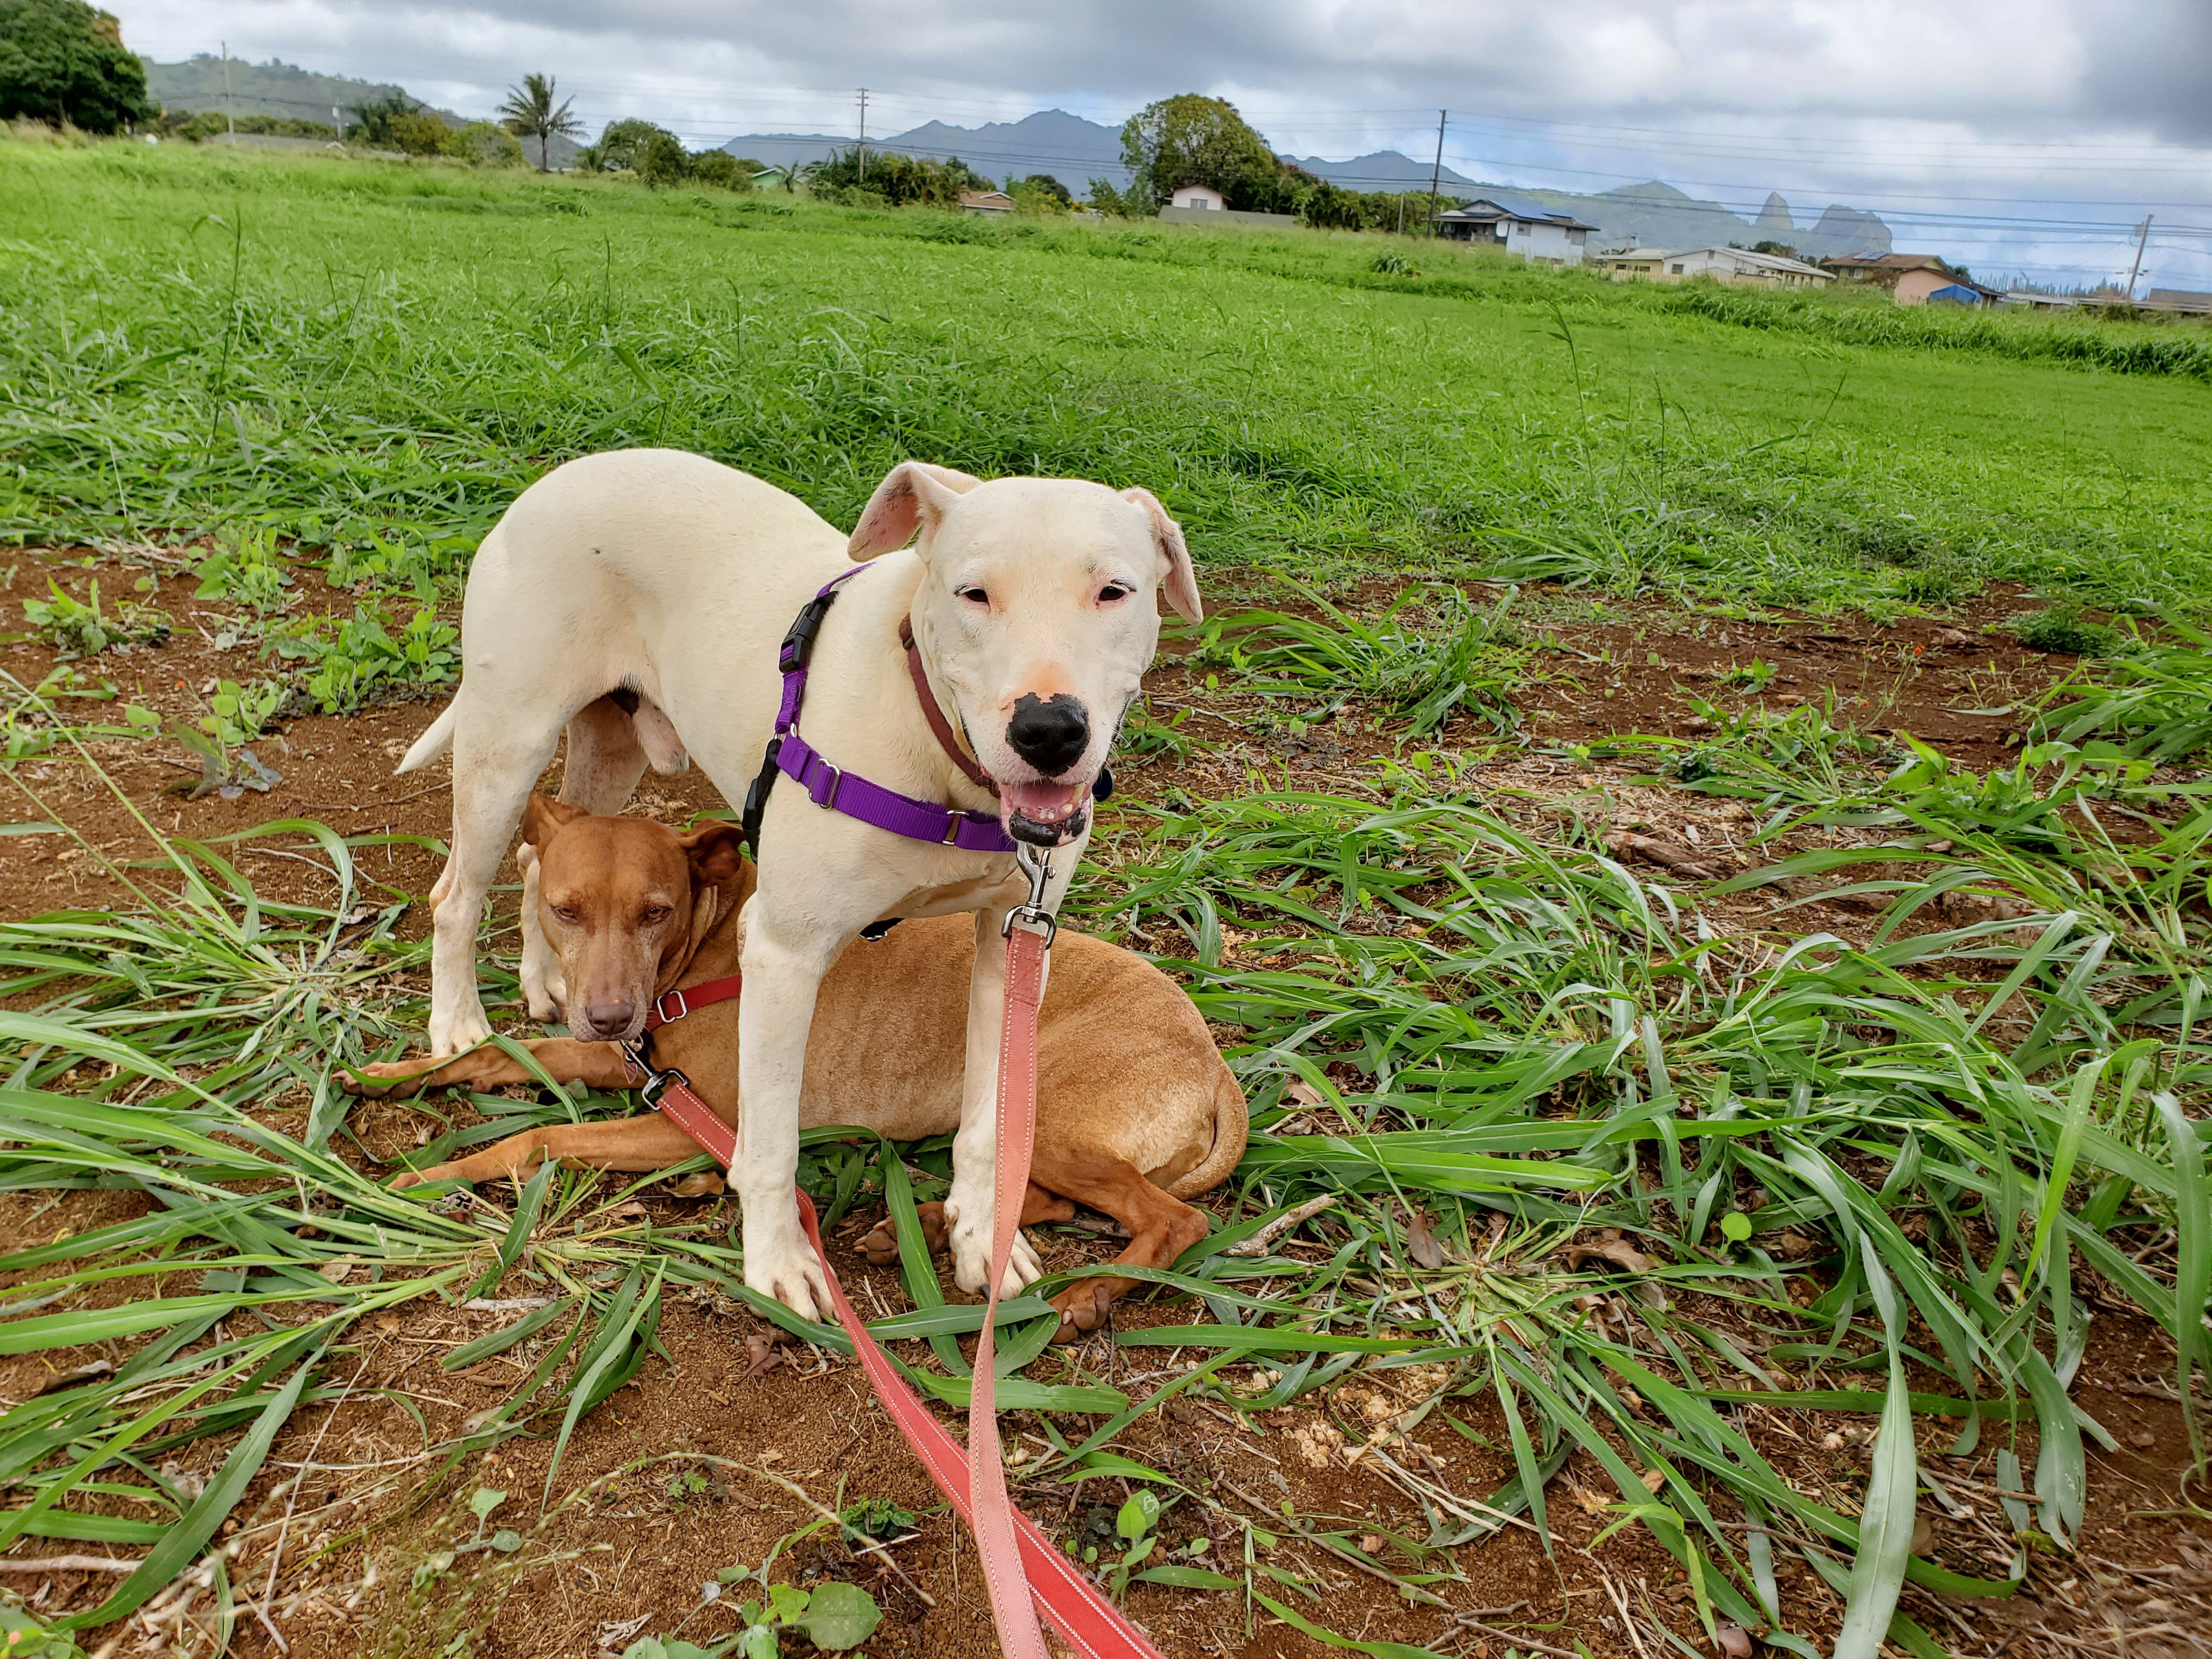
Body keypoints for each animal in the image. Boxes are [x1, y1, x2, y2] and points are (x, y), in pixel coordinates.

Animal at [349, 800, 1248, 1336]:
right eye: (562, 910)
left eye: (656, 912)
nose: (607, 1015)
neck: (711, 947)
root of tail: (1213, 1061)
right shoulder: (625, 1062)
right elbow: (498, 1055)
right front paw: (393, 1077)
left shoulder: (694, 1123)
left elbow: (536, 1142)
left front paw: (431, 1178)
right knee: (1049, 1200)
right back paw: (919, 1226)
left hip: (1048, 1114)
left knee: (1173, 1220)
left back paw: (1082, 1297)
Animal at [393, 451, 1194, 1327]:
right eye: (973, 593)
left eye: (1114, 590)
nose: (1049, 731)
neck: (941, 760)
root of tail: (570, 470)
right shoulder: (783, 955)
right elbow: (770, 1144)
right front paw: (778, 1263)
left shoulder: (1013, 944)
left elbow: (989, 1118)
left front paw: (982, 1235)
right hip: (507, 745)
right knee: (458, 894)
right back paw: (458, 1024)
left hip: (608, 750)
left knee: (543, 856)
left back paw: (546, 981)